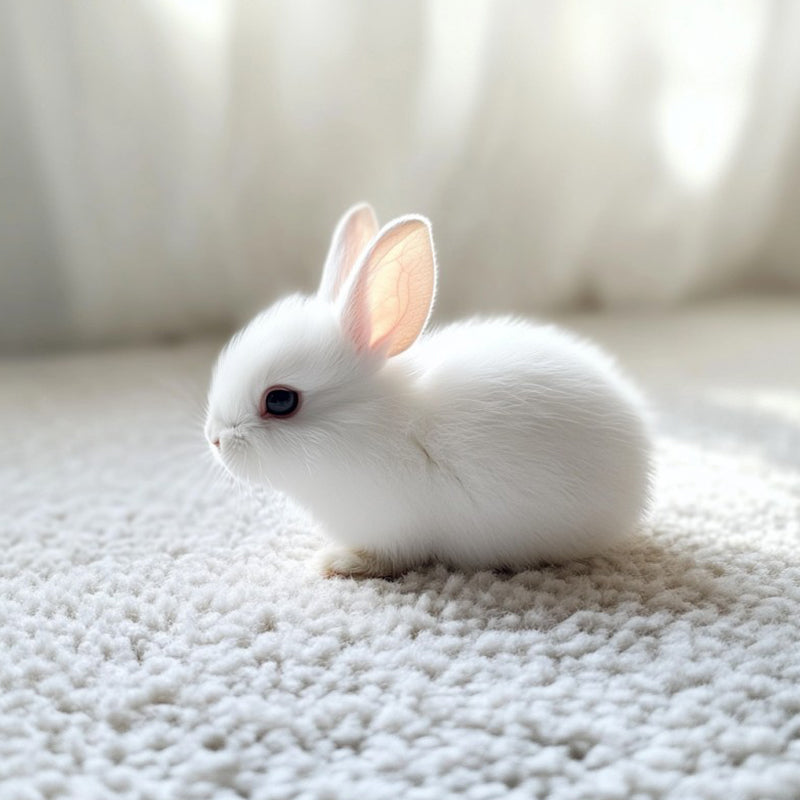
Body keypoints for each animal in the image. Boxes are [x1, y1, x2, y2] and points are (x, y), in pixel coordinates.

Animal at [205, 203, 652, 578]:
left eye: (280, 400)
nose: (214, 440)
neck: (368, 425)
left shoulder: (393, 529)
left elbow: (384, 559)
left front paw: (337, 563)